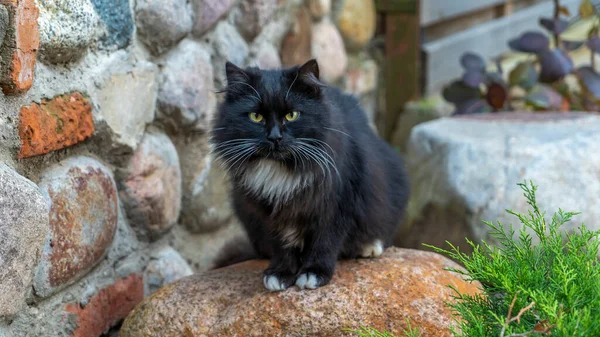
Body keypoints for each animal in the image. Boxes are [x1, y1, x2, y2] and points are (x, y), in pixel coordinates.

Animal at [209, 59, 410, 290]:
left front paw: (314, 273)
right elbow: (282, 245)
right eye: (256, 117)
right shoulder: (270, 212)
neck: (283, 171)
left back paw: (368, 247)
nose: (275, 137)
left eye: (292, 115)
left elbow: (325, 243)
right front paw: (280, 273)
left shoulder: (337, 205)